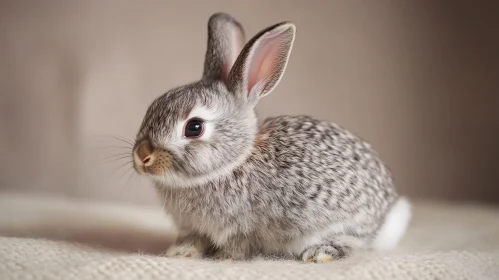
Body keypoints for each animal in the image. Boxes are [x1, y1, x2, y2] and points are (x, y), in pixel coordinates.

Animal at [131, 12, 412, 262]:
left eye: (194, 127)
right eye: (151, 107)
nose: (142, 156)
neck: (234, 162)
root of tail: (387, 216)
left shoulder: (242, 228)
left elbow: (237, 246)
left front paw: (223, 259)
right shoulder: (194, 228)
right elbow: (193, 240)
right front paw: (178, 252)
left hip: (340, 225)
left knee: (350, 244)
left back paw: (319, 254)